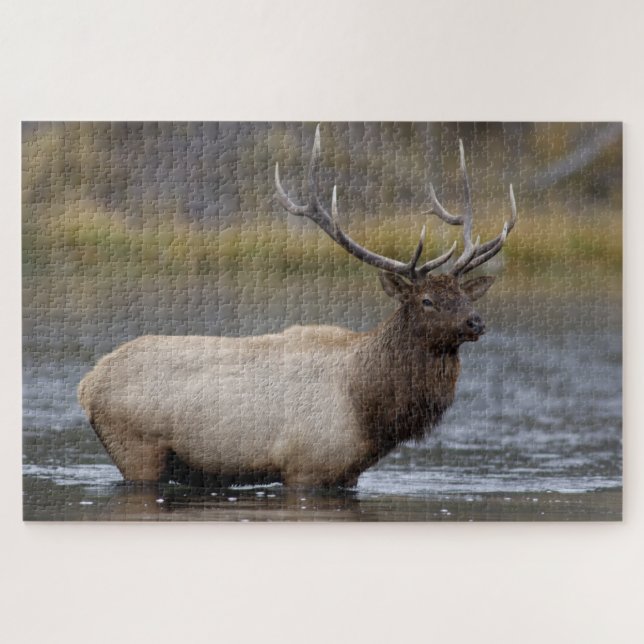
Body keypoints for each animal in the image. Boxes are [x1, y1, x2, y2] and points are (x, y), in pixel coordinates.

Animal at [77, 125, 517, 488]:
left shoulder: (346, 475)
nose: (476, 322)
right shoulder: (306, 467)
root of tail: (88, 384)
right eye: (426, 300)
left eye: (464, 296)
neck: (366, 407)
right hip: (137, 450)